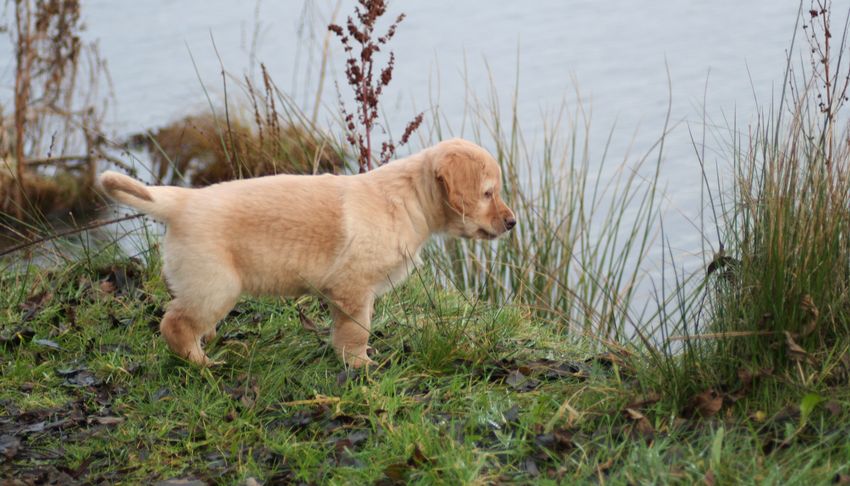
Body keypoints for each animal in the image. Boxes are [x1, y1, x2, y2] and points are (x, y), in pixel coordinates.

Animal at [99, 138, 516, 367]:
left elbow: (346, 329)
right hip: (216, 285)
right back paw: (201, 363)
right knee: (175, 324)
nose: (512, 223)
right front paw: (360, 364)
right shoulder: (354, 288)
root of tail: (181, 201)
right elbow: (356, 330)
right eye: (488, 193)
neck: (406, 198)